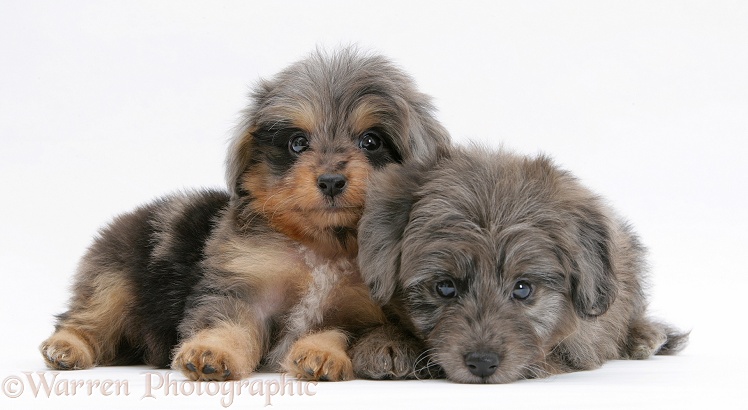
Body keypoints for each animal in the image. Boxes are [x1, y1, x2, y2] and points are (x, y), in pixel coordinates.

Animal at [39, 48, 450, 382]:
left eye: (371, 142)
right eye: (297, 143)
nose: (331, 181)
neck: (323, 246)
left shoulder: (363, 313)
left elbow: (338, 332)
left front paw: (319, 354)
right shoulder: (242, 284)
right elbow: (230, 322)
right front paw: (213, 351)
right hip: (114, 276)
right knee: (87, 317)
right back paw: (67, 348)